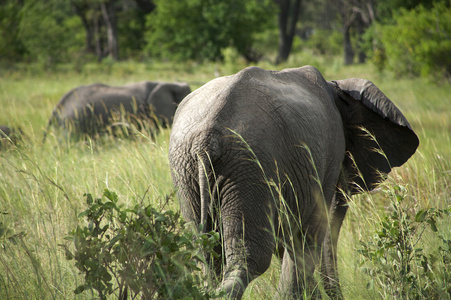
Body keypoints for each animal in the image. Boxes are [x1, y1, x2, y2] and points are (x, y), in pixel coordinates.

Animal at [170, 65, 420, 298]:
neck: (337, 89)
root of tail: (206, 139)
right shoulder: (328, 155)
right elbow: (308, 232)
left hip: (188, 168)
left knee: (207, 253)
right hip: (250, 167)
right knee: (250, 258)